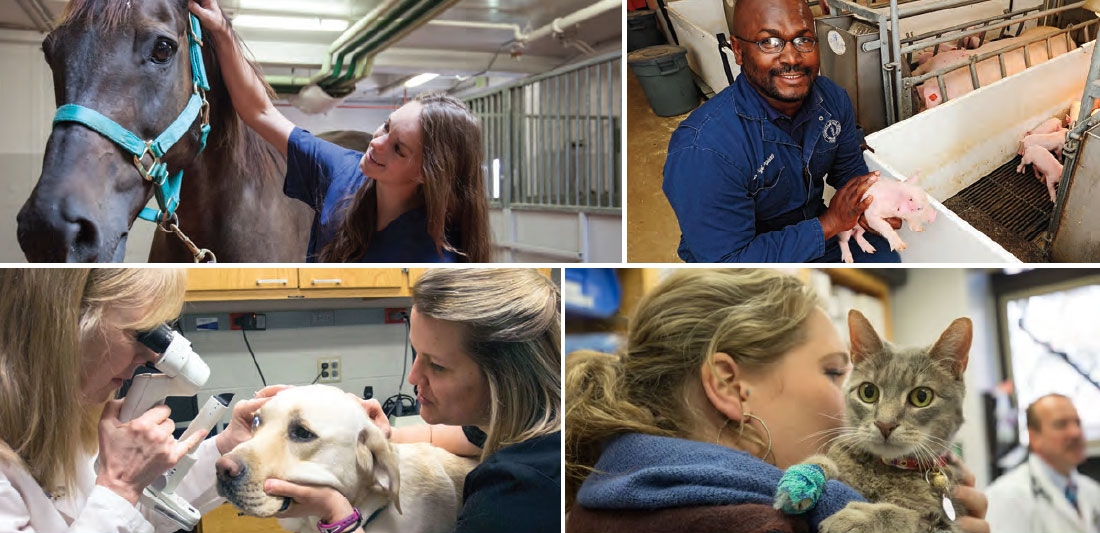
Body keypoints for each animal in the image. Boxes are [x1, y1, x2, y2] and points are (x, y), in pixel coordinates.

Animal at [774, 307, 972, 531]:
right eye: (868, 392)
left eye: (922, 396)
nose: (885, 424)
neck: (886, 468)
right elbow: (827, 461)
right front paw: (802, 479)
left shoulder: (948, 522)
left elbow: (907, 515)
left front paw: (853, 519)